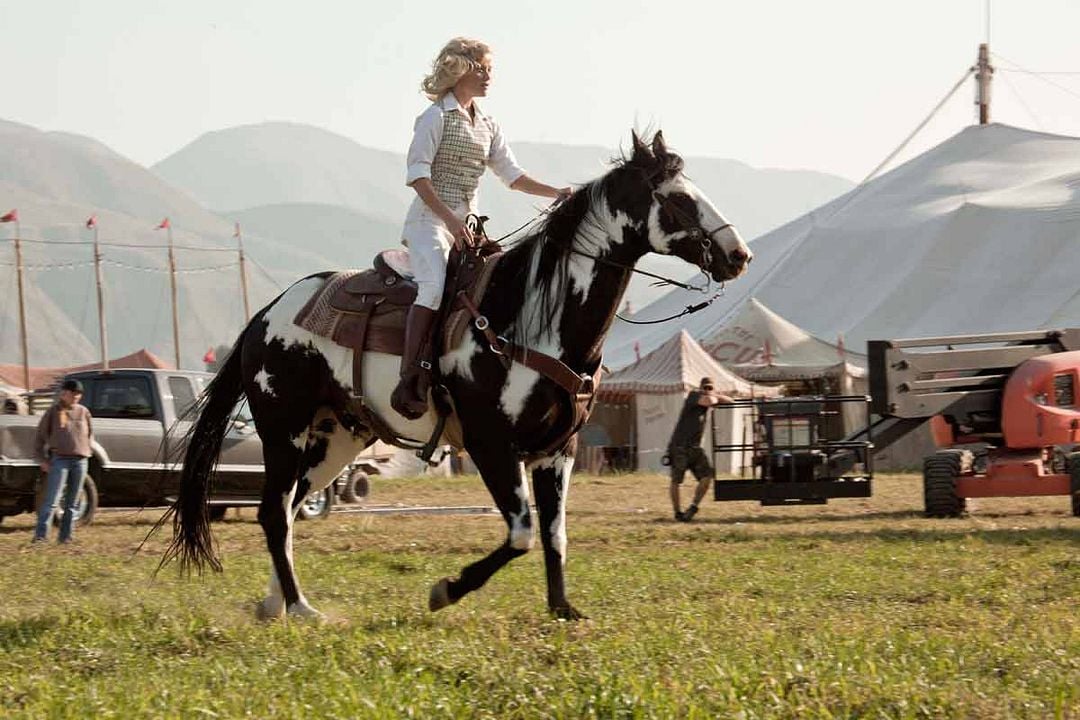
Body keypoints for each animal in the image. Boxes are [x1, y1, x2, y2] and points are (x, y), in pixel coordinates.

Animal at [166, 132, 751, 621]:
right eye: (679, 199)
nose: (738, 254)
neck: (533, 316)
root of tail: (268, 313)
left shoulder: (557, 451)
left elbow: (555, 534)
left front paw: (563, 609)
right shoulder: (491, 443)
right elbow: (521, 533)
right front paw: (446, 589)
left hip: (336, 438)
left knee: (287, 512)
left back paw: (277, 605)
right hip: (283, 429)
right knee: (272, 512)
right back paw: (301, 609)